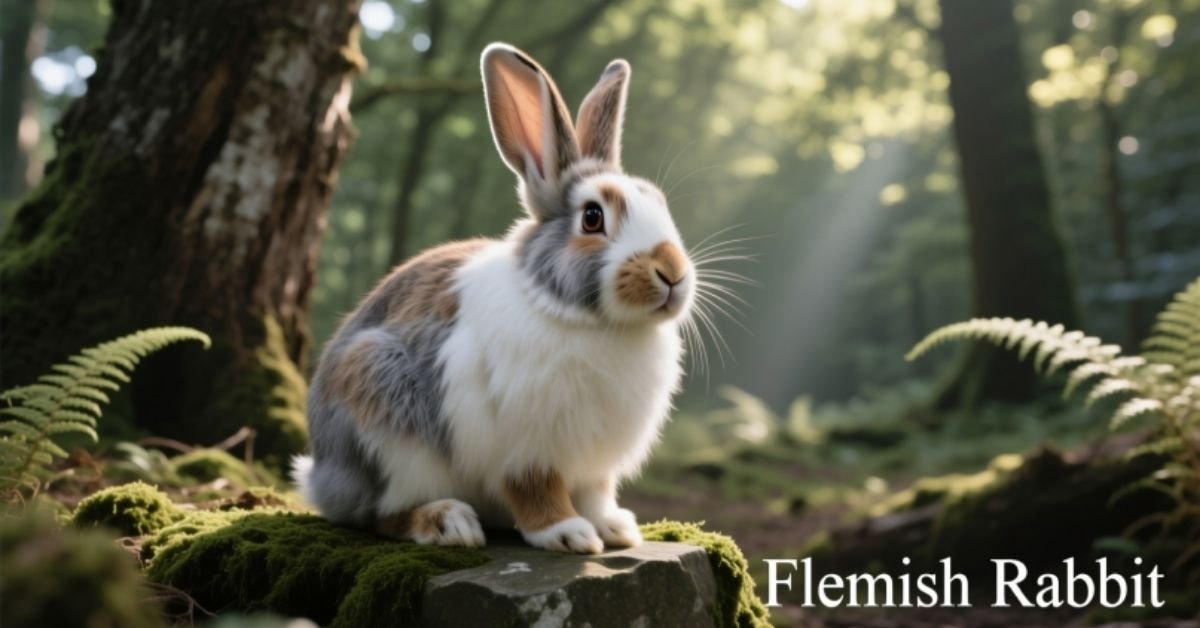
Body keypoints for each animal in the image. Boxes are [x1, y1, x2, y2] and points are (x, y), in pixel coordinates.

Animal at [291, 42, 695, 554]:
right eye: (592, 217)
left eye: (659, 203)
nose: (673, 273)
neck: (585, 318)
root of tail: (322, 478)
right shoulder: (526, 448)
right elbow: (535, 488)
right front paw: (568, 533)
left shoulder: (595, 464)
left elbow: (596, 493)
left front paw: (616, 529)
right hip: (380, 411)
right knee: (377, 515)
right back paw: (448, 522)